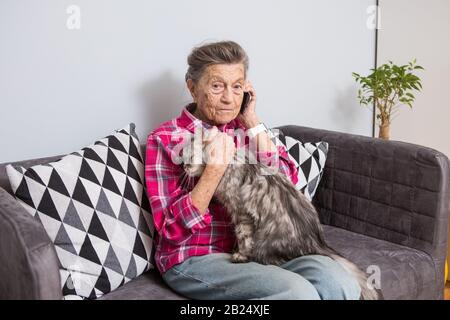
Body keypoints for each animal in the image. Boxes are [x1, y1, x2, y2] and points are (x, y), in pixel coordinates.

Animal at [181, 136, 382, 300]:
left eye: (189, 158)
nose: (184, 167)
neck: (230, 162)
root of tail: (316, 240)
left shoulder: (242, 214)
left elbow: (243, 238)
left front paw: (239, 254)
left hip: (264, 241)